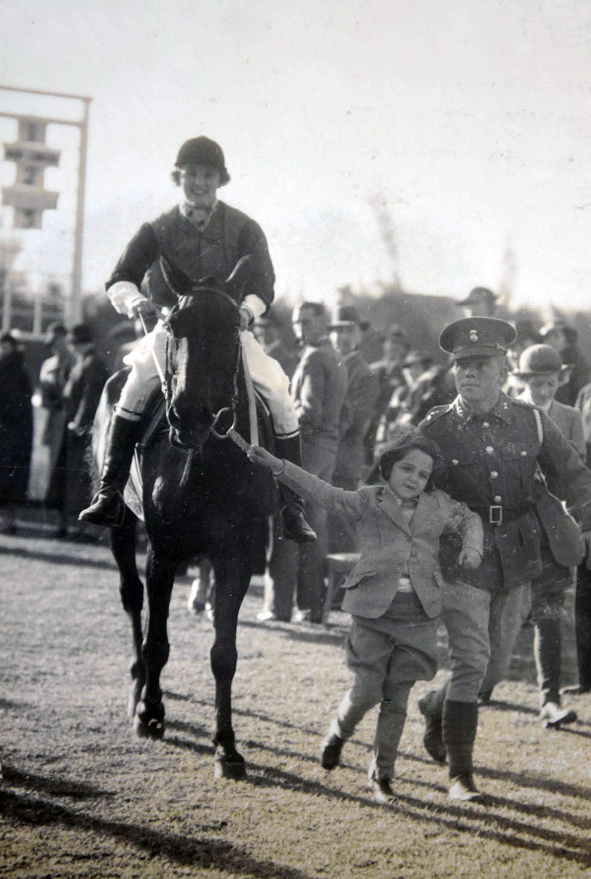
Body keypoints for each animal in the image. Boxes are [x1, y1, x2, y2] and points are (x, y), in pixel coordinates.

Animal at [94, 258, 276, 780]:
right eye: (174, 325)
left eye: (233, 328)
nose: (189, 416)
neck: (207, 461)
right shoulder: (163, 551)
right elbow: (158, 639)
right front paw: (151, 713)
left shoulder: (236, 557)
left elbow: (224, 653)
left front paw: (226, 745)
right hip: (121, 528)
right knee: (132, 599)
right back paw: (138, 684)